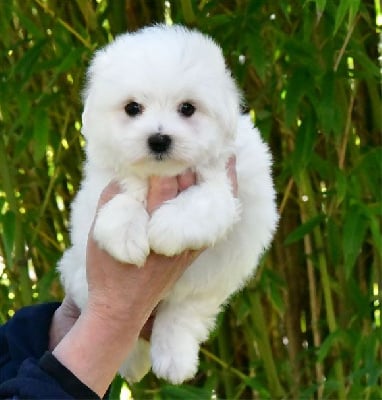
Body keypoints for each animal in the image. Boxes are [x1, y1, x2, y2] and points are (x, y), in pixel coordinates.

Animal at [57, 24, 278, 384]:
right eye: (132, 108)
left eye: (187, 108)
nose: (159, 139)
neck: (160, 174)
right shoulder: (104, 182)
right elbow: (122, 197)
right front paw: (128, 235)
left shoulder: (225, 185)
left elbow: (203, 204)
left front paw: (165, 229)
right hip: (78, 273)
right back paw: (131, 360)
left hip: (214, 279)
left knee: (183, 314)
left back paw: (174, 359)